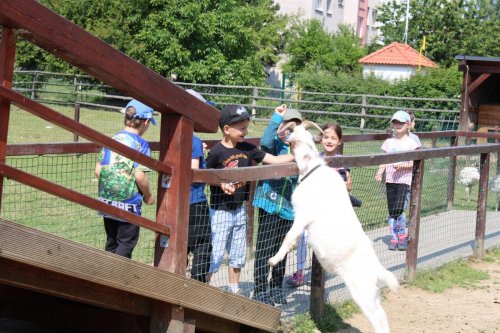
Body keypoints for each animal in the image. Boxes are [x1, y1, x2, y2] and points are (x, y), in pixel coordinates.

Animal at [270, 120, 398, 332]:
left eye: (292, 135)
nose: (282, 136)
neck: (312, 169)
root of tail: (376, 269)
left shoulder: (304, 214)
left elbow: (288, 237)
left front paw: (273, 260)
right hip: (372, 293)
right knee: (383, 315)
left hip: (362, 290)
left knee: (378, 317)